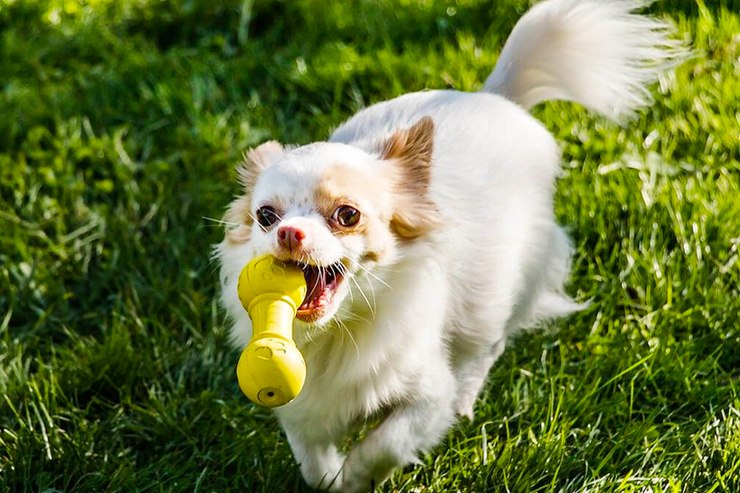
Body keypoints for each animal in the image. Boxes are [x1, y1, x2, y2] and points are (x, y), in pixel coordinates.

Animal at [214, 1, 684, 490]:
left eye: (347, 215)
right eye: (266, 217)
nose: (289, 233)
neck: (338, 331)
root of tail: (495, 96)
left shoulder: (425, 398)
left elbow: (385, 443)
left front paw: (357, 478)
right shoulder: (302, 406)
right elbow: (311, 457)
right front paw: (332, 478)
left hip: (496, 297)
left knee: (485, 349)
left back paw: (465, 400)